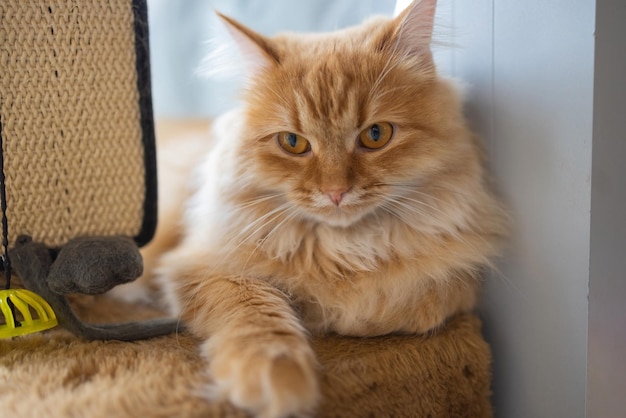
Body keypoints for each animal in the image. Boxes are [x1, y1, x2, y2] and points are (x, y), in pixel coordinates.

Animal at [140, 1, 508, 416]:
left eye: (375, 135)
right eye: (293, 143)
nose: (336, 192)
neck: (343, 250)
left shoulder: (457, 275)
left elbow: (409, 304)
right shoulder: (202, 265)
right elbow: (253, 310)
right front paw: (276, 374)